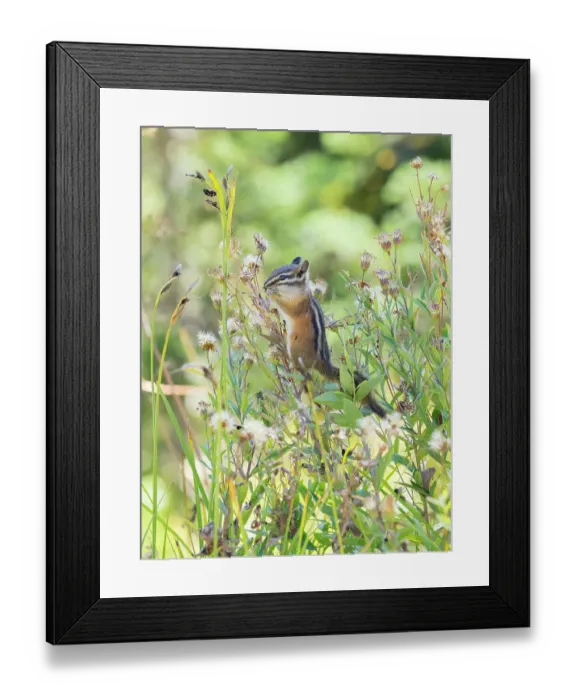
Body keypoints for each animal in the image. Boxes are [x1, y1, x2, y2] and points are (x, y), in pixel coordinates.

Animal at [263, 256, 386, 418]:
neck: (300, 292)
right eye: (273, 271)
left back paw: (284, 354)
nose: (265, 285)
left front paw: (272, 294)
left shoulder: (298, 306)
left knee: (303, 372)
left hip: (295, 348)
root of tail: (323, 363)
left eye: (282, 277)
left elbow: (287, 307)